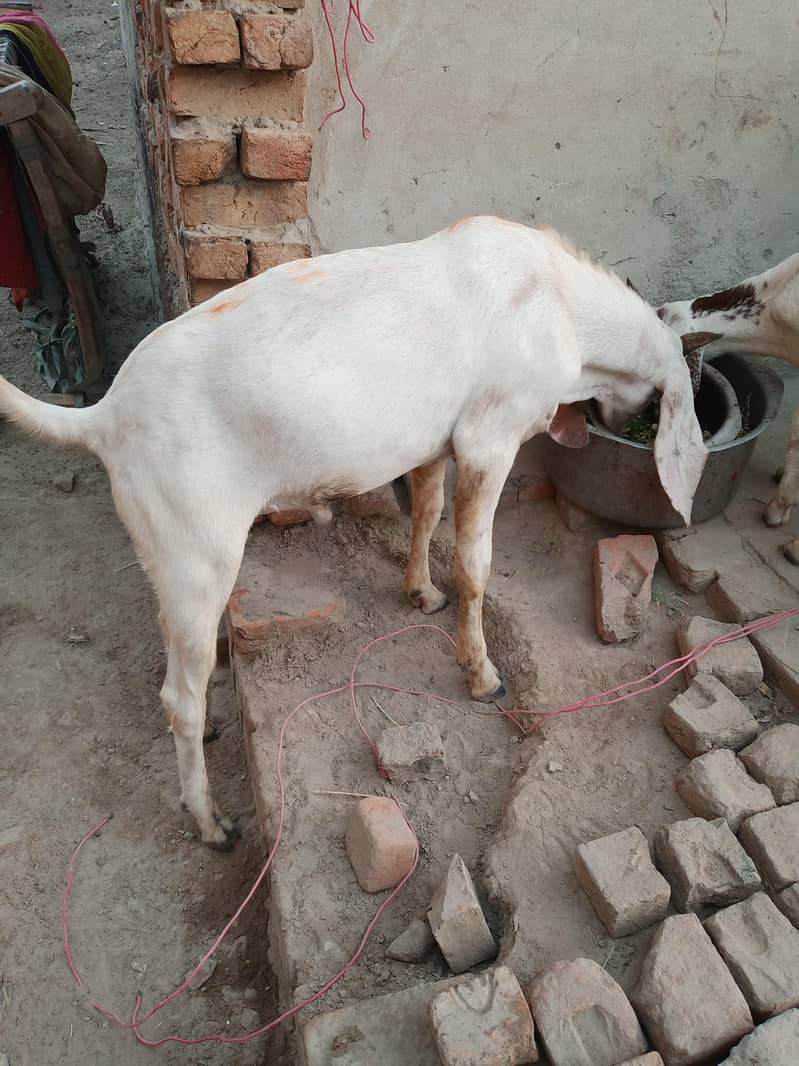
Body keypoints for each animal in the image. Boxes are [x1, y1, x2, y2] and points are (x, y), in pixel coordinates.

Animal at [0, 216, 711, 847]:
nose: (614, 421)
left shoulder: (433, 441)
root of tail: (106, 416)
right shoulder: (490, 437)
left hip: (166, 553)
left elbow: (426, 511)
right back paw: (210, 822)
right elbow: (475, 564)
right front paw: (481, 673)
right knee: (179, 693)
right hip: (199, 552)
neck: (561, 302)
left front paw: (421, 593)